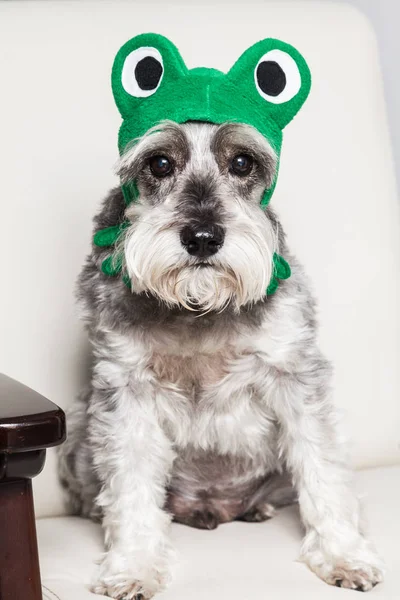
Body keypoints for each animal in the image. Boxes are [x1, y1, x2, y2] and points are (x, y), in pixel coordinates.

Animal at [59, 119, 384, 596]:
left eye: (243, 162)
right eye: (159, 162)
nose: (202, 238)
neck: (198, 309)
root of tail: (215, 505)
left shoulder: (294, 374)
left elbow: (322, 468)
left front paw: (344, 554)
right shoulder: (126, 389)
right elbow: (131, 484)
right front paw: (133, 565)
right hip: (80, 434)